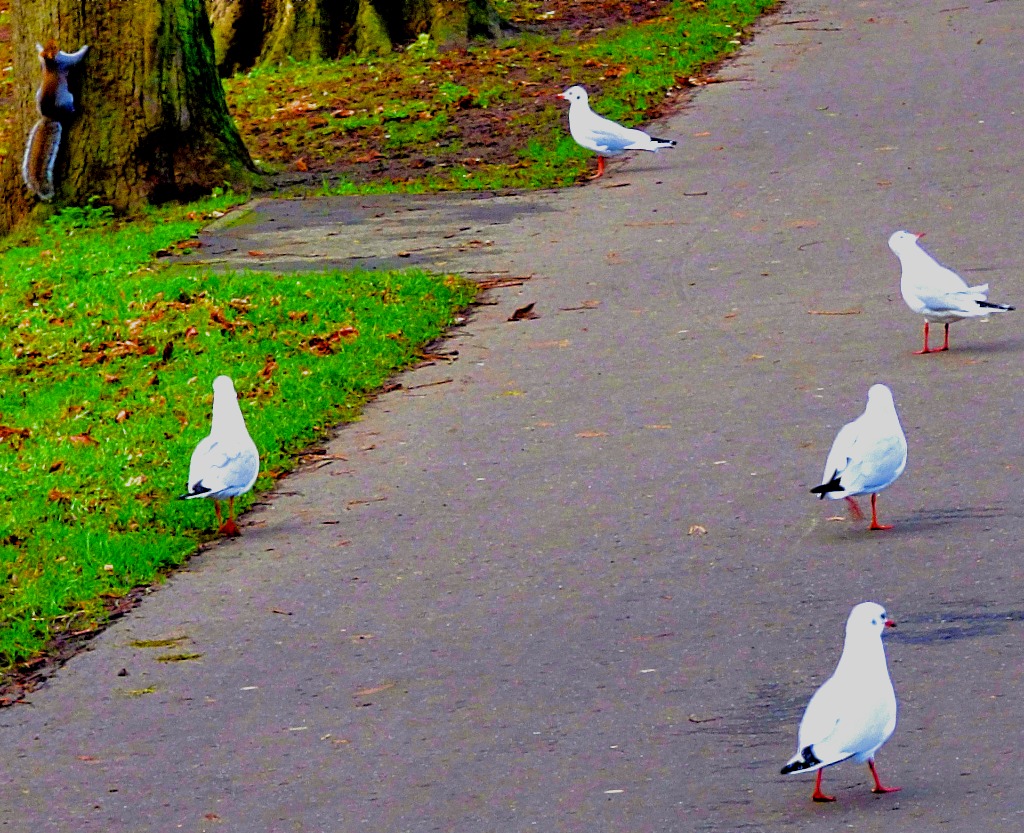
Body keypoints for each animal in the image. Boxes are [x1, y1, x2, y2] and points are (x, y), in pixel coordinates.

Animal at [21, 39, 90, 202]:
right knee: (70, 111)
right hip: (67, 99)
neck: (50, 63)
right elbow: (75, 58)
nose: (57, 44)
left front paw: (38, 46)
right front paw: (85, 48)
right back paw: (76, 111)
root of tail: (50, 116)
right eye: (54, 48)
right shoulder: (65, 62)